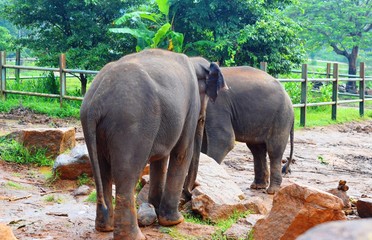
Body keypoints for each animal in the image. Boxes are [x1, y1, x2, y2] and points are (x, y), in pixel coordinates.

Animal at [186, 60, 294, 195]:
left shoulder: (216, 105)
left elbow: (224, 140)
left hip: (281, 117)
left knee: (274, 150)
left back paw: (271, 191)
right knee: (257, 149)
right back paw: (258, 186)